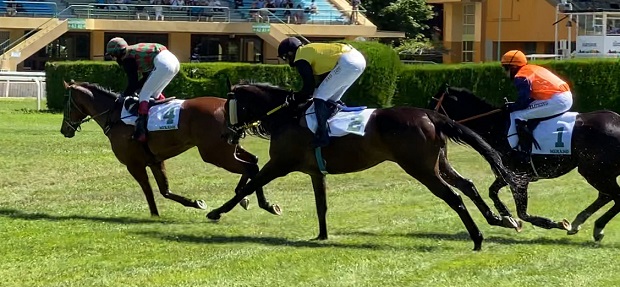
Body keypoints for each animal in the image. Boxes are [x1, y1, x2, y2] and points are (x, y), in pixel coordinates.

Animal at [59, 81, 280, 218]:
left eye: (66, 104)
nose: (64, 130)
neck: (114, 116)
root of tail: (228, 106)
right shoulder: (156, 160)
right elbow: (165, 190)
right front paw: (195, 202)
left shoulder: (134, 164)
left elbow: (149, 190)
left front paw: (154, 214)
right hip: (228, 148)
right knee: (254, 162)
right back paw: (251, 199)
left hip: (214, 153)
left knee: (250, 167)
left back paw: (248, 201)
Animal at [203, 81, 524, 252]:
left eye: (228, 106)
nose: (225, 135)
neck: (286, 116)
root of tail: (430, 115)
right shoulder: (314, 171)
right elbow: (321, 204)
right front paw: (322, 235)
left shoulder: (281, 163)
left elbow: (250, 185)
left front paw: (217, 211)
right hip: (438, 163)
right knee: (467, 185)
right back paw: (502, 219)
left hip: (420, 168)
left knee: (454, 196)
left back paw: (478, 237)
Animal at [432, 84, 620, 244]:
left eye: (433, 103)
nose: (431, 120)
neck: (496, 126)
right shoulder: (510, 174)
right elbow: (493, 192)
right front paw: (507, 218)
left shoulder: (520, 177)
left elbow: (522, 213)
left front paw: (552, 223)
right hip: (599, 171)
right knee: (606, 196)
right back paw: (581, 223)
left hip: (594, 171)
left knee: (613, 196)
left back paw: (595, 227)